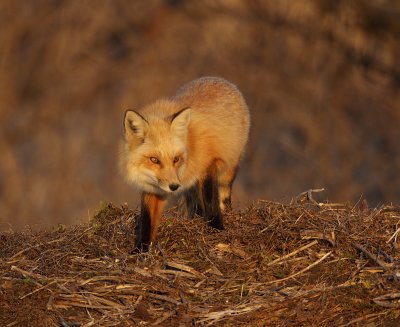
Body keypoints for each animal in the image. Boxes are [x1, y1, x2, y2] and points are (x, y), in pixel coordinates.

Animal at [119, 77, 250, 251]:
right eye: (154, 160)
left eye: (176, 159)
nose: (174, 186)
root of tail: (216, 78)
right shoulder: (153, 187)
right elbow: (147, 220)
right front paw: (141, 250)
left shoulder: (208, 164)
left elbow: (211, 201)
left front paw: (217, 229)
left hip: (228, 170)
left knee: (223, 195)